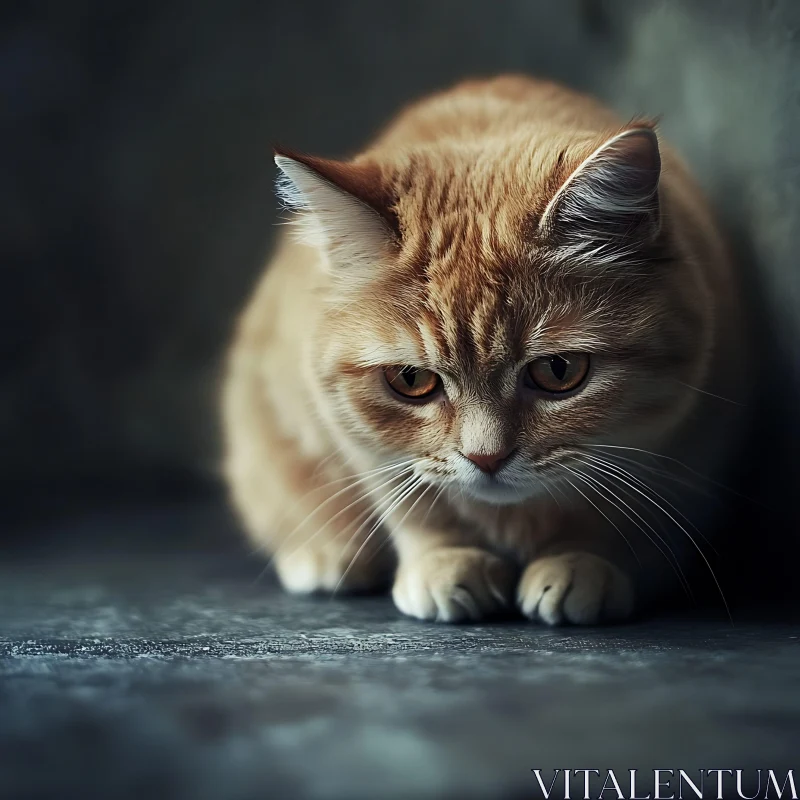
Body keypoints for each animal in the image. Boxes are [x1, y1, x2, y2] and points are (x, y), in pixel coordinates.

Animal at [222, 75, 748, 624]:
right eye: (411, 380)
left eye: (559, 371)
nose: (487, 457)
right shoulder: (360, 441)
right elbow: (415, 508)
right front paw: (445, 561)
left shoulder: (680, 448)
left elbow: (615, 514)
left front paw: (581, 560)